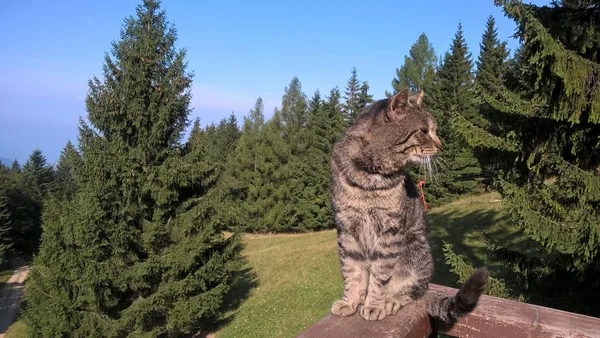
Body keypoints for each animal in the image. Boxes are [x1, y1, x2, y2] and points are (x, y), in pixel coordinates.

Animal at [328, 88, 488, 324]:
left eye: (434, 130)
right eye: (424, 131)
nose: (440, 145)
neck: (369, 175)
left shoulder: (390, 230)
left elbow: (380, 275)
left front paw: (373, 305)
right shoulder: (346, 228)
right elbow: (351, 271)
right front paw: (350, 301)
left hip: (415, 249)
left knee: (413, 291)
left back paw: (390, 301)